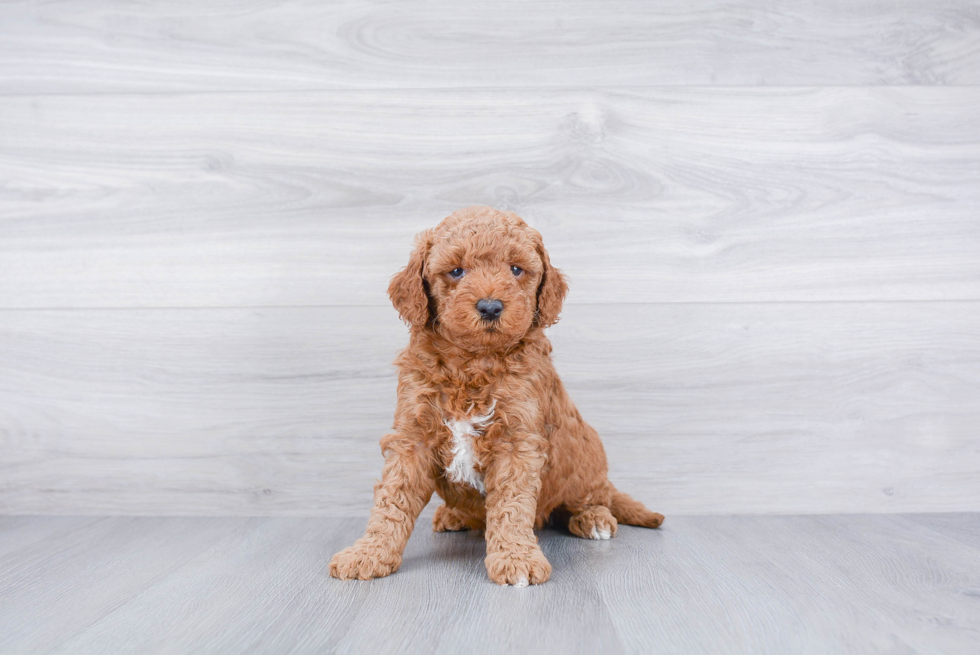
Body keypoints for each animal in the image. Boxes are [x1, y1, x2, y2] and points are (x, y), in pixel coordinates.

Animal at [332, 208, 668, 588]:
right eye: (457, 271)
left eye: (516, 269)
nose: (491, 307)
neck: (473, 362)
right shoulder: (411, 436)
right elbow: (392, 499)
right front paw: (368, 553)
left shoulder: (516, 441)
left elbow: (511, 504)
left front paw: (516, 558)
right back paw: (454, 515)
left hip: (586, 458)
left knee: (593, 496)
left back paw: (593, 518)